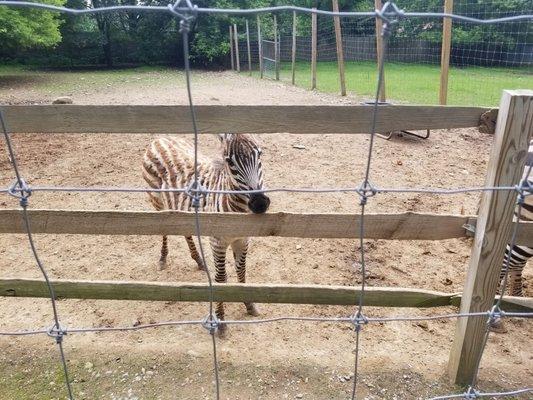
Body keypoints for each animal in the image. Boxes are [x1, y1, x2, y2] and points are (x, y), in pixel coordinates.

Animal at [140, 132, 268, 332]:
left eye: (259, 154)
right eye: (229, 162)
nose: (260, 204)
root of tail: (159, 138)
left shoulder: (243, 239)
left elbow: (242, 272)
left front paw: (249, 305)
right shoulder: (217, 242)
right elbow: (221, 278)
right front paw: (221, 321)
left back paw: (199, 260)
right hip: (157, 202)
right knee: (165, 231)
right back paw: (163, 258)